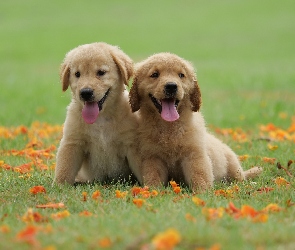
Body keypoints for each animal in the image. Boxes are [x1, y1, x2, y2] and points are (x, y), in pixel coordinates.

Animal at [54, 42, 140, 185]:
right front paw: (59, 186)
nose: (85, 93)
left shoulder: (132, 145)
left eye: (101, 73)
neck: (100, 119)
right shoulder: (72, 143)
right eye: (77, 74)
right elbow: (64, 169)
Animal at [130, 52, 264, 189]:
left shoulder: (195, 155)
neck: (169, 128)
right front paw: (152, 191)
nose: (171, 86)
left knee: (240, 178)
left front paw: (203, 192)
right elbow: (153, 177)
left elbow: (199, 176)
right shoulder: (152, 158)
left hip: (233, 165)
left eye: (181, 75)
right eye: (155, 74)